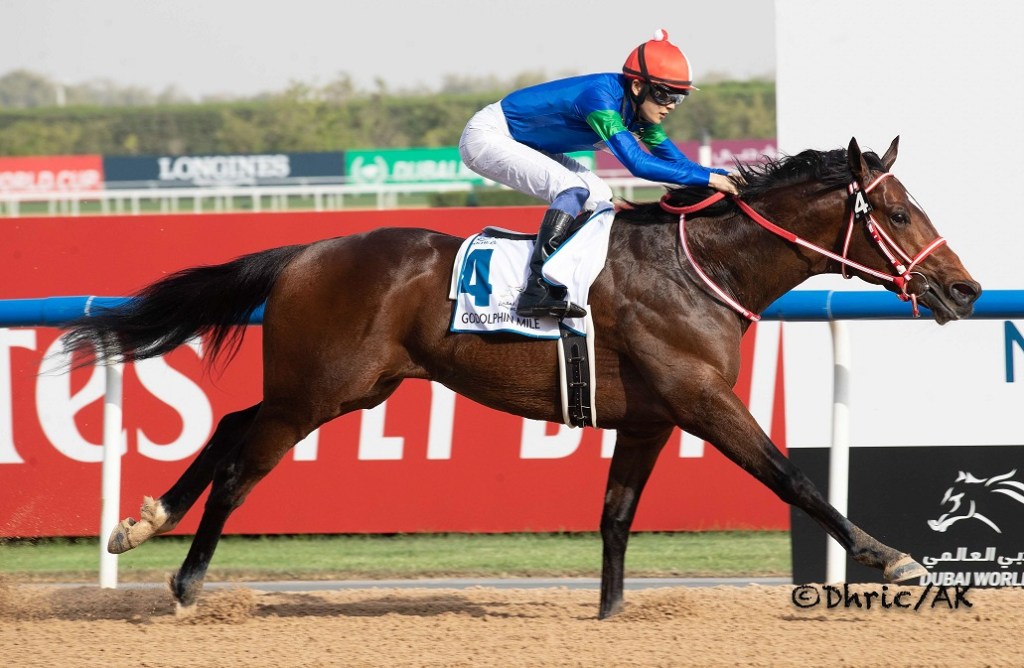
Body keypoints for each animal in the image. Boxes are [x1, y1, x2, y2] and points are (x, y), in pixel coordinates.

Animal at [60, 137, 980, 619]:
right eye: (899, 212)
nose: (966, 289)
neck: (701, 269)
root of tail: (303, 251)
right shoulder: (702, 401)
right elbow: (795, 479)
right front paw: (894, 560)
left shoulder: (649, 417)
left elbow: (615, 518)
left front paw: (609, 616)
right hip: (318, 393)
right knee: (243, 467)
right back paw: (186, 582)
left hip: (346, 386)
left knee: (230, 424)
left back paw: (139, 522)